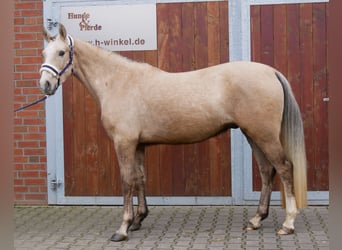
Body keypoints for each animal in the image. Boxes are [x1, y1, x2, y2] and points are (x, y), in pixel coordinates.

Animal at [39, 24, 308, 241]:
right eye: (44, 53)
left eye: (61, 52)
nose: (45, 85)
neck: (118, 82)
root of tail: (271, 72)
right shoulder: (138, 144)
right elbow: (140, 178)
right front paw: (138, 220)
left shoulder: (124, 143)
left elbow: (127, 181)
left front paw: (123, 228)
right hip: (253, 134)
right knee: (266, 171)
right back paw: (256, 219)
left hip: (264, 135)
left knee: (284, 168)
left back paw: (288, 223)